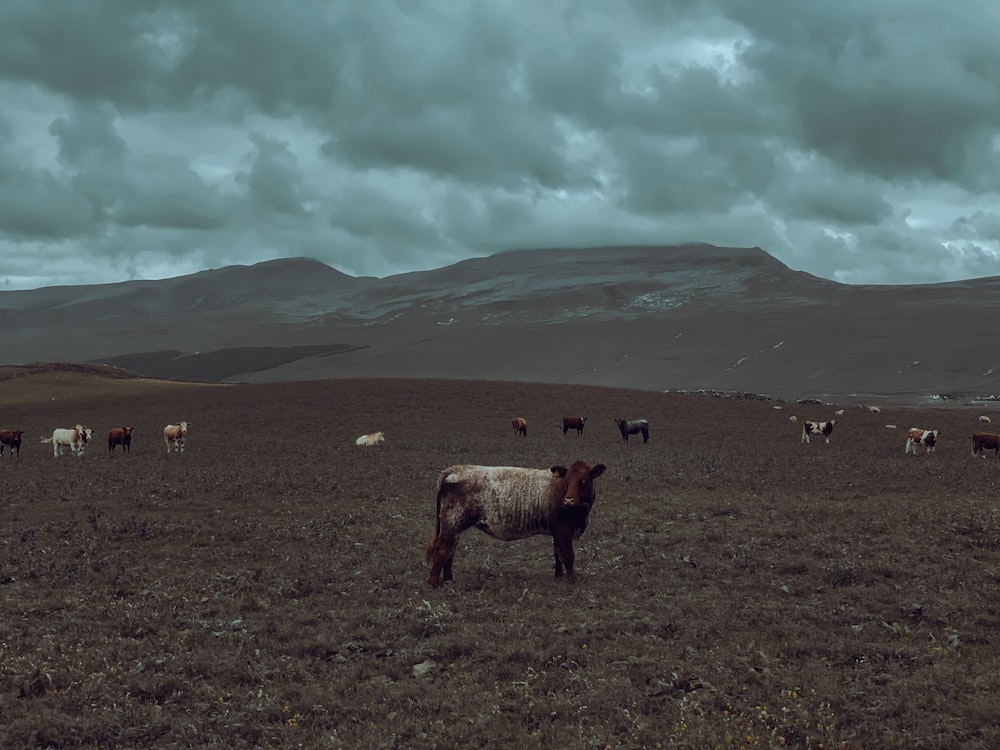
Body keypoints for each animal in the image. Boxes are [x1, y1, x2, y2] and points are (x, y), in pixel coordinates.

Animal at [424, 458, 604, 588]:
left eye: (584, 480)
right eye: (568, 479)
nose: (569, 500)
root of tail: (456, 469)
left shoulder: (556, 531)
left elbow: (557, 554)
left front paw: (559, 577)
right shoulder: (563, 528)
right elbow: (567, 555)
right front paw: (572, 580)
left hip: (455, 527)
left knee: (450, 552)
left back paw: (448, 581)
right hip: (452, 522)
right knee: (442, 550)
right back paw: (433, 584)